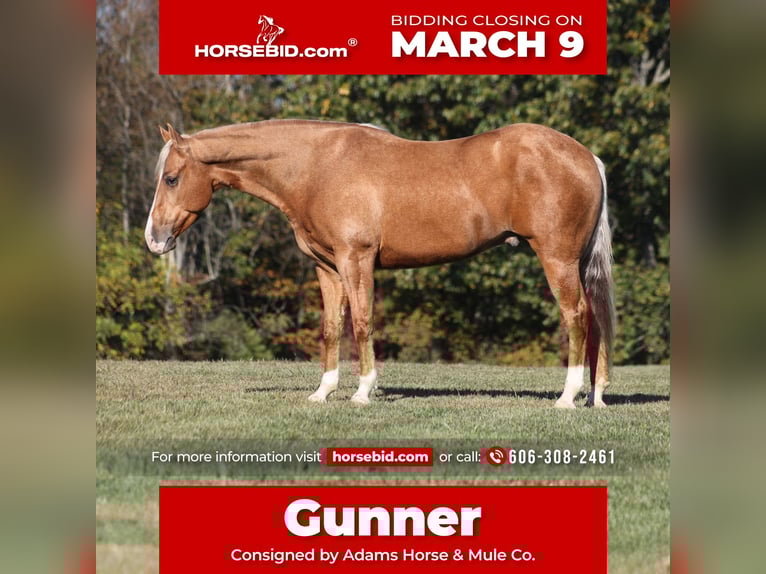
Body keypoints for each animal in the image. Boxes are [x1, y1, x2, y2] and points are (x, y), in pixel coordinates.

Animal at [145, 120, 615, 408]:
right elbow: (332, 328)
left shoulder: (357, 260)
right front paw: (323, 392)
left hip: (556, 257)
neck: (318, 167)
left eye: (171, 178)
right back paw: (596, 396)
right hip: (576, 262)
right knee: (595, 318)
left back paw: (568, 397)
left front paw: (363, 392)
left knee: (575, 315)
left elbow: (362, 323)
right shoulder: (328, 268)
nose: (154, 239)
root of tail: (587, 157)